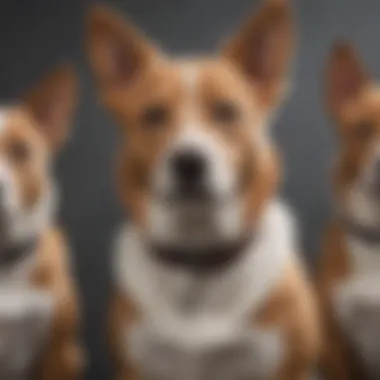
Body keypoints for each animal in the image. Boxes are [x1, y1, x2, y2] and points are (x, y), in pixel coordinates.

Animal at [87, 0, 320, 380]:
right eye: (153, 115)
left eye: (227, 111)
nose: (189, 162)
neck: (198, 261)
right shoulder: (134, 366)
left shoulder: (291, 368)